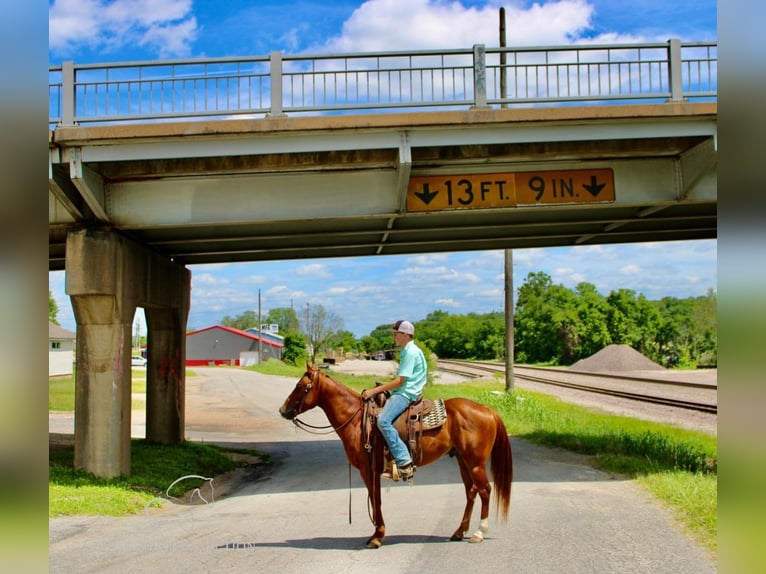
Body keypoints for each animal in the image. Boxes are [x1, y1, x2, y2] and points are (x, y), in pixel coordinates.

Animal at [280, 366, 512, 552]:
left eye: (300, 386)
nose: (283, 410)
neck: (356, 420)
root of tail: (488, 410)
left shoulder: (368, 470)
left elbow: (375, 500)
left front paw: (377, 537)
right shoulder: (372, 470)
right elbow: (376, 499)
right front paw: (376, 534)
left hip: (475, 463)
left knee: (485, 490)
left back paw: (479, 533)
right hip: (463, 461)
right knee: (471, 491)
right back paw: (459, 531)